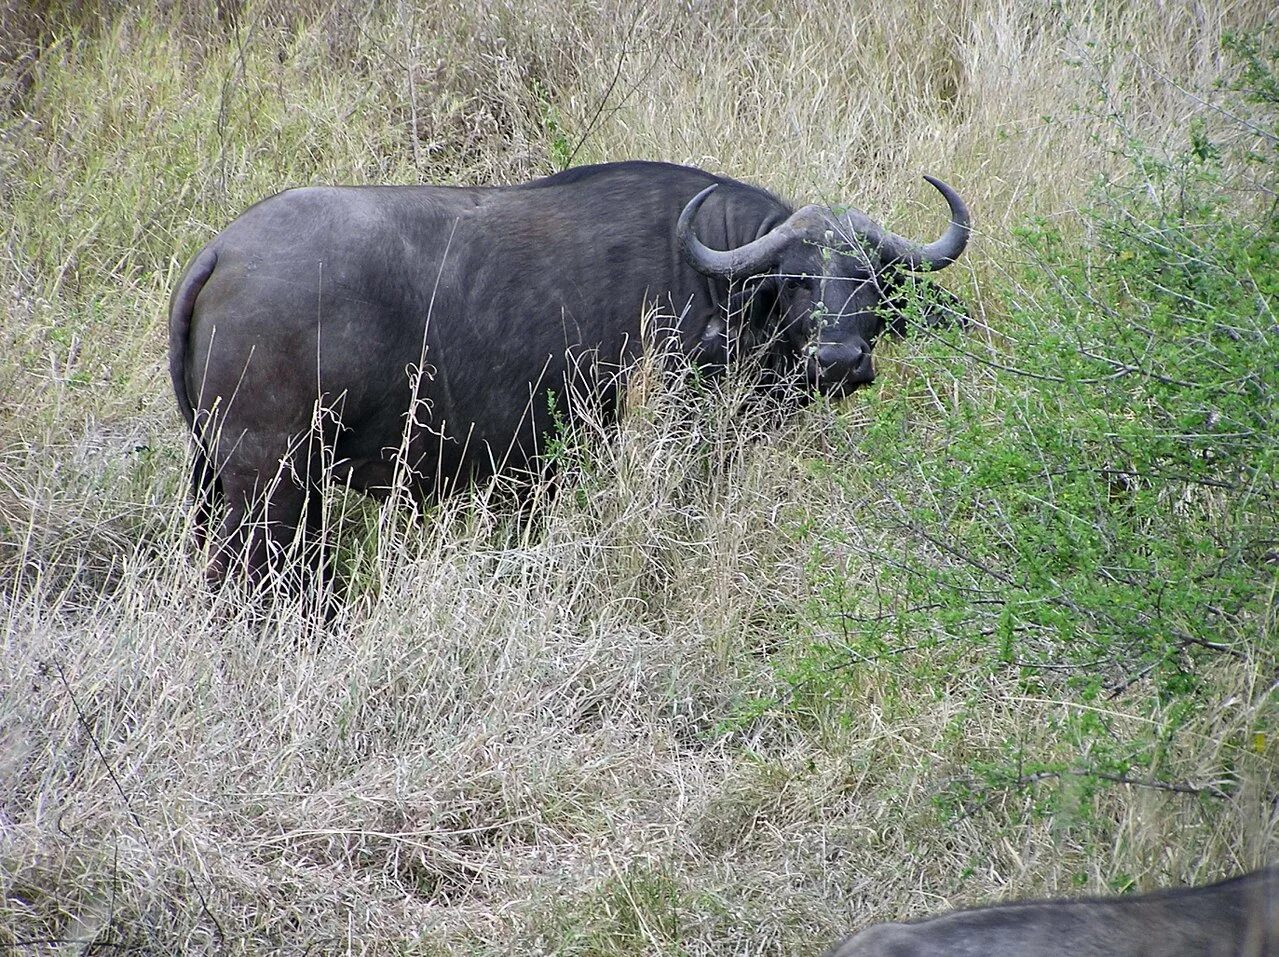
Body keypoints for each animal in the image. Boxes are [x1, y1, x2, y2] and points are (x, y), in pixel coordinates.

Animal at [170, 160, 966, 585]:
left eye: (874, 281)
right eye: (798, 280)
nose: (839, 359)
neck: (716, 285)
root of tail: (224, 250)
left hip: (235, 477)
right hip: (267, 480)